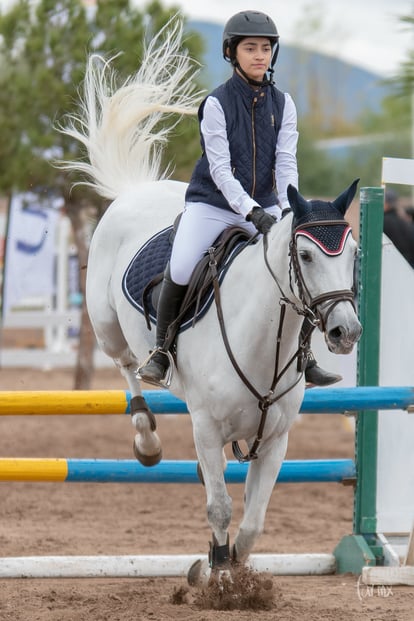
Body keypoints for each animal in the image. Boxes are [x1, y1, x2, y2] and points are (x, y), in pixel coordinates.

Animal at [59, 20, 362, 580]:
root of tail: (137, 190)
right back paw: (147, 437)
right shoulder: (205, 426)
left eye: (352, 252)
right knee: (128, 369)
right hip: (108, 328)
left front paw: (234, 570)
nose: (345, 332)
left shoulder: (276, 440)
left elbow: (253, 522)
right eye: (305, 256)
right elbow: (221, 508)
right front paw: (218, 575)